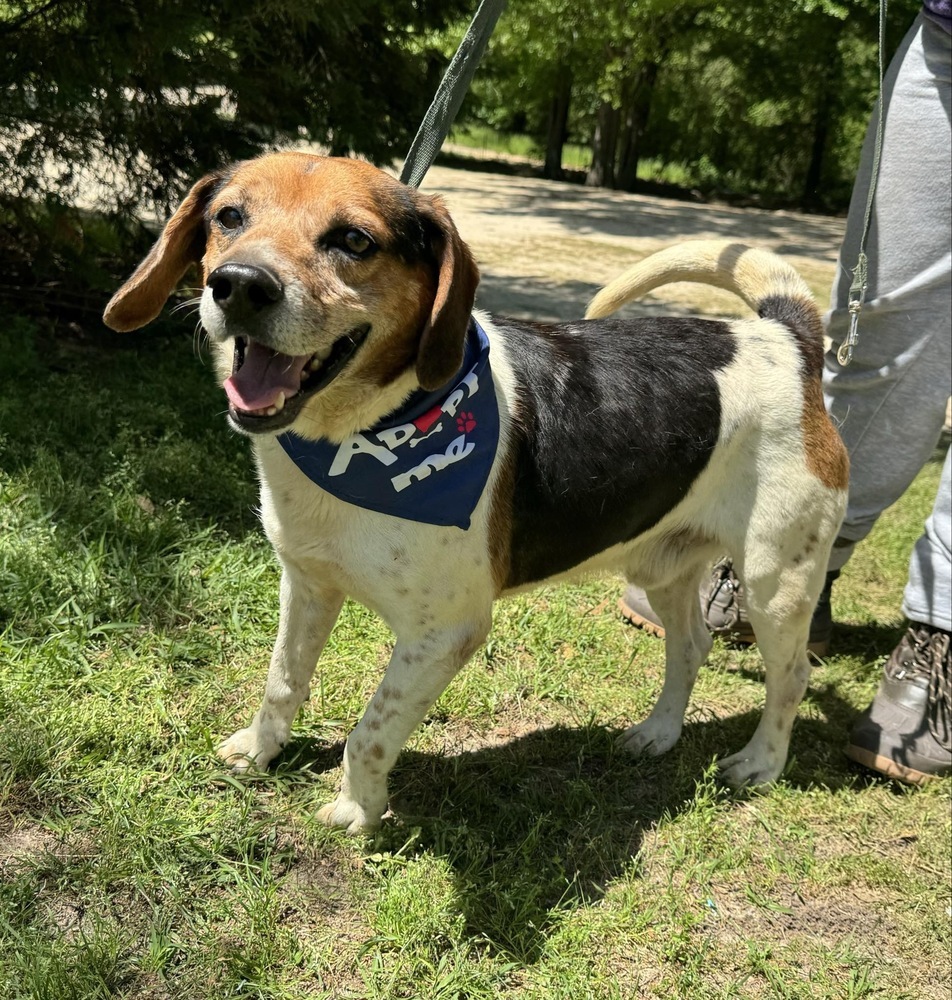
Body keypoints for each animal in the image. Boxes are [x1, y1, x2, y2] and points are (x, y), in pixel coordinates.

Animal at [104, 150, 848, 836]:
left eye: (354, 241)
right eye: (229, 217)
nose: (237, 285)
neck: (363, 434)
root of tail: (785, 336)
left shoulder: (444, 634)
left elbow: (371, 730)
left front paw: (357, 810)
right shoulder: (308, 583)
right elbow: (283, 679)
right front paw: (260, 750)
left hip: (775, 583)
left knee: (791, 679)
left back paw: (760, 762)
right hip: (663, 565)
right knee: (690, 646)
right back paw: (658, 733)